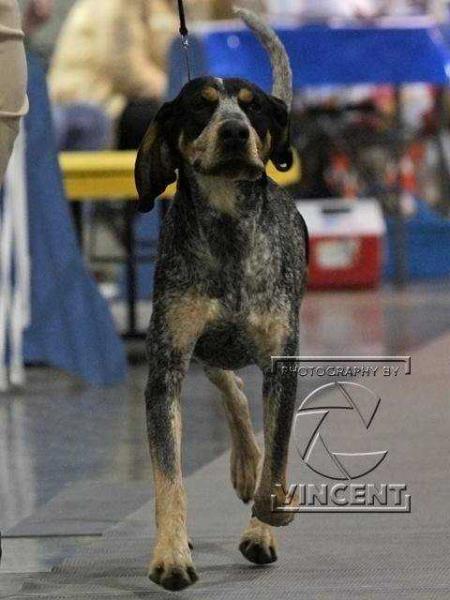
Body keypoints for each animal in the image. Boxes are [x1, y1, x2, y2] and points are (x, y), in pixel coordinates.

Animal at [134, 7, 310, 592]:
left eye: (251, 107)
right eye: (201, 106)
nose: (235, 131)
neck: (230, 229)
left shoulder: (282, 362)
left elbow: (278, 453)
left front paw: (268, 519)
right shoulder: (166, 367)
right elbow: (168, 478)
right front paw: (170, 554)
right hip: (200, 349)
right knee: (229, 386)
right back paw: (241, 465)